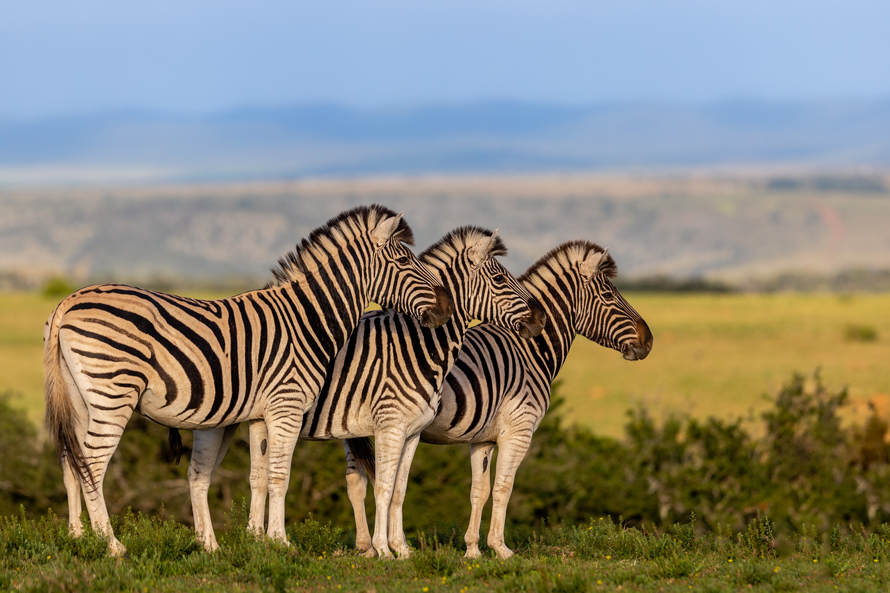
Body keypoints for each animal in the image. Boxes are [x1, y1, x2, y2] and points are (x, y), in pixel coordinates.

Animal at [43, 205, 454, 555]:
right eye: (404, 260)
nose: (447, 308)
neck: (308, 320)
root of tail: (68, 302)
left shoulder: (260, 414)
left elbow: (259, 475)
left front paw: (261, 540)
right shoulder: (287, 405)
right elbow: (280, 476)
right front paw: (282, 543)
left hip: (80, 398)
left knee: (70, 460)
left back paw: (77, 538)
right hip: (114, 391)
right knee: (91, 464)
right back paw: (112, 546)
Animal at [187, 226, 547, 558]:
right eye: (499, 278)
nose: (540, 318)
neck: (416, 346)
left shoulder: (412, 430)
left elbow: (399, 488)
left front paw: (400, 548)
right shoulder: (392, 425)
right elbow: (385, 487)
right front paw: (383, 548)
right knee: (204, 475)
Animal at [343, 240, 653, 559]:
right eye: (608, 295)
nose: (649, 340)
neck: (529, 350)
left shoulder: (483, 439)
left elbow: (479, 491)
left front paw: (472, 549)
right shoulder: (518, 431)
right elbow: (503, 488)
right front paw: (500, 548)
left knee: (355, 481)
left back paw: (366, 548)